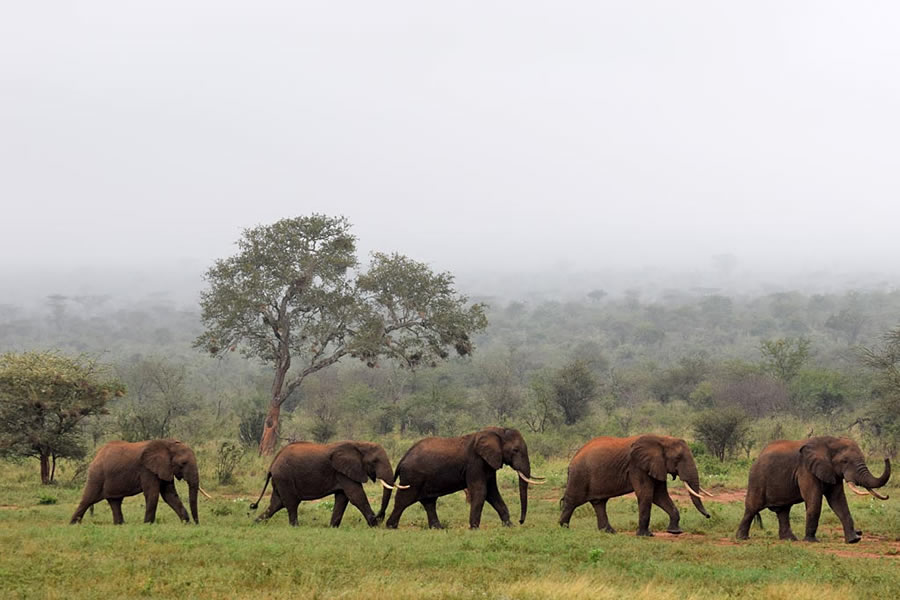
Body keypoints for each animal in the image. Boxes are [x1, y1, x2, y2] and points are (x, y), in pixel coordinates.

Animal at [69, 438, 210, 524]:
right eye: (183, 463)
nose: (197, 523)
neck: (166, 443)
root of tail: (96, 456)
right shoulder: (147, 469)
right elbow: (153, 494)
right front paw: (147, 524)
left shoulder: (165, 468)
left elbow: (169, 495)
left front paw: (186, 523)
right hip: (97, 475)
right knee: (87, 500)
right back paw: (73, 525)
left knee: (115, 502)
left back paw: (120, 525)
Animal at [246, 440, 400, 524]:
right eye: (375, 461)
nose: (379, 517)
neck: (359, 444)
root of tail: (272, 465)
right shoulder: (343, 472)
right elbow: (356, 496)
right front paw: (374, 524)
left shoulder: (343, 473)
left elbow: (342, 498)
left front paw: (333, 527)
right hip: (285, 477)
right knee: (291, 503)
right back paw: (295, 526)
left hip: (280, 479)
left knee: (277, 504)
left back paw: (255, 523)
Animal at [384, 426, 544, 528]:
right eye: (515, 450)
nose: (520, 521)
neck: (497, 431)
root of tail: (403, 458)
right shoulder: (476, 462)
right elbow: (481, 491)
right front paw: (474, 527)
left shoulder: (488, 463)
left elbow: (492, 493)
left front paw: (509, 526)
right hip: (413, 477)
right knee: (404, 499)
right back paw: (390, 526)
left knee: (429, 502)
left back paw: (438, 528)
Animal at [556, 434, 712, 536]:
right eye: (678, 458)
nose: (709, 516)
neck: (662, 439)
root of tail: (573, 457)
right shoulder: (637, 466)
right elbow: (647, 494)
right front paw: (645, 535)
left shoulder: (656, 466)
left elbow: (659, 496)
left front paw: (675, 532)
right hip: (579, 475)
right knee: (572, 502)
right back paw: (563, 529)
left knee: (599, 503)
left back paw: (609, 532)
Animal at [736, 436, 888, 544]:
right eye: (844, 461)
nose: (886, 457)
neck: (830, 441)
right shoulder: (806, 469)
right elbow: (814, 500)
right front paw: (811, 541)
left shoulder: (832, 472)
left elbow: (838, 501)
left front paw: (853, 540)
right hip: (757, 479)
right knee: (752, 508)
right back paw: (741, 538)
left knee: (783, 511)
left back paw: (790, 539)